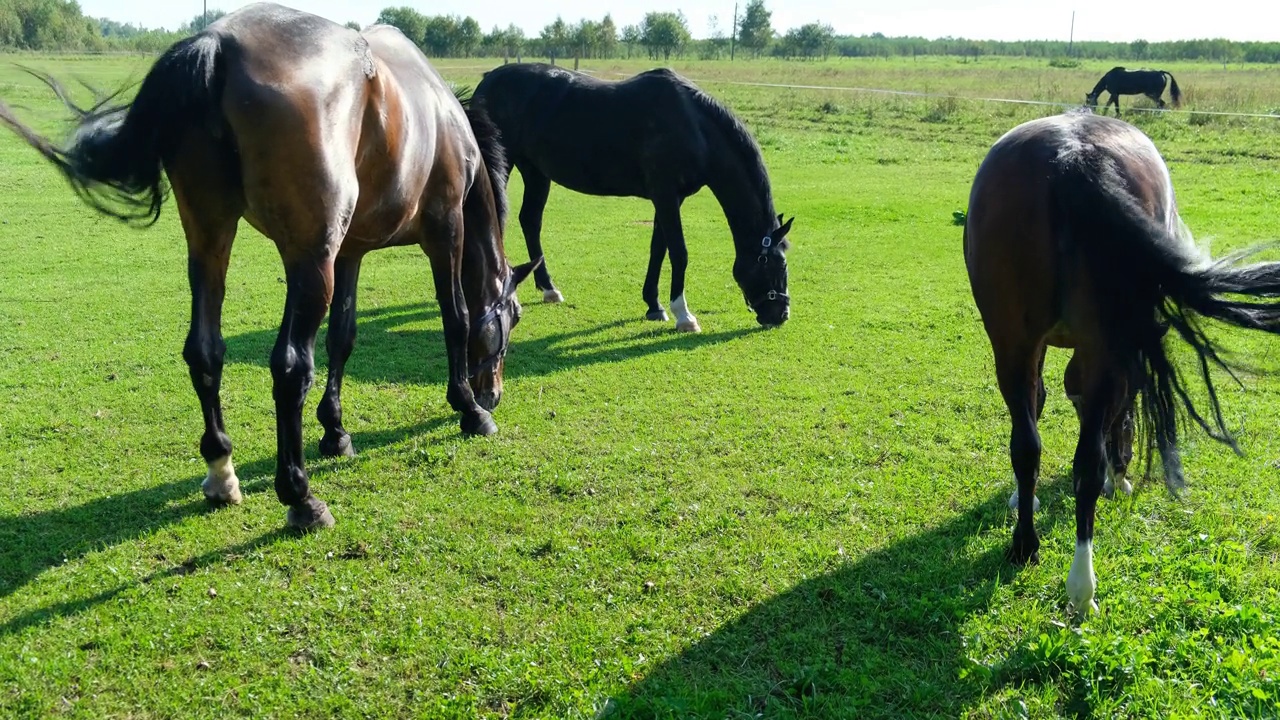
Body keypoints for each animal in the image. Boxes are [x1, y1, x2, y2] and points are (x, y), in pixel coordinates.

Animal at [0, 2, 537, 530]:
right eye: (513, 318)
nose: (493, 393)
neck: (446, 122)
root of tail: (216, 44)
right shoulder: (444, 233)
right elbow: (456, 320)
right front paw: (469, 410)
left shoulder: (351, 252)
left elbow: (344, 337)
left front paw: (336, 432)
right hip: (309, 261)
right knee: (290, 366)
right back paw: (301, 497)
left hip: (212, 241)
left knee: (205, 351)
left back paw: (221, 473)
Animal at [471, 61, 788, 330]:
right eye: (776, 264)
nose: (781, 315)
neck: (694, 126)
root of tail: (488, 80)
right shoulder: (666, 196)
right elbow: (679, 252)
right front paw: (684, 315)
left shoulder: (668, 199)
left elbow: (658, 249)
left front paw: (654, 305)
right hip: (501, 165)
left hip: (535, 171)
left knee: (530, 220)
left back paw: (548, 288)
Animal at [962, 109, 1280, 614]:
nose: (1127, 461)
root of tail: (1072, 156)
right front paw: (1118, 474)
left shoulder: (1037, 347)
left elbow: (1039, 406)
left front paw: (1022, 499)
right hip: (1094, 346)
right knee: (1085, 464)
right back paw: (1081, 585)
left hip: (1011, 342)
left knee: (1027, 445)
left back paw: (1025, 547)